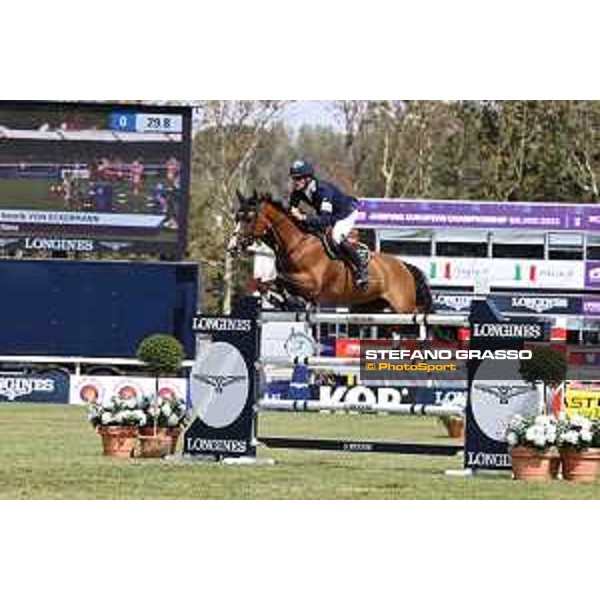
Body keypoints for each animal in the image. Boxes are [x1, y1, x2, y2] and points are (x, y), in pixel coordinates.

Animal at [230, 192, 432, 314]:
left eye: (249, 218)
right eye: (236, 217)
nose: (231, 247)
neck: (297, 244)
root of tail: (404, 266)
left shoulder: (312, 284)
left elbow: (280, 280)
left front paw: (292, 302)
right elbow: (265, 283)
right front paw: (281, 300)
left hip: (403, 307)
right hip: (371, 306)